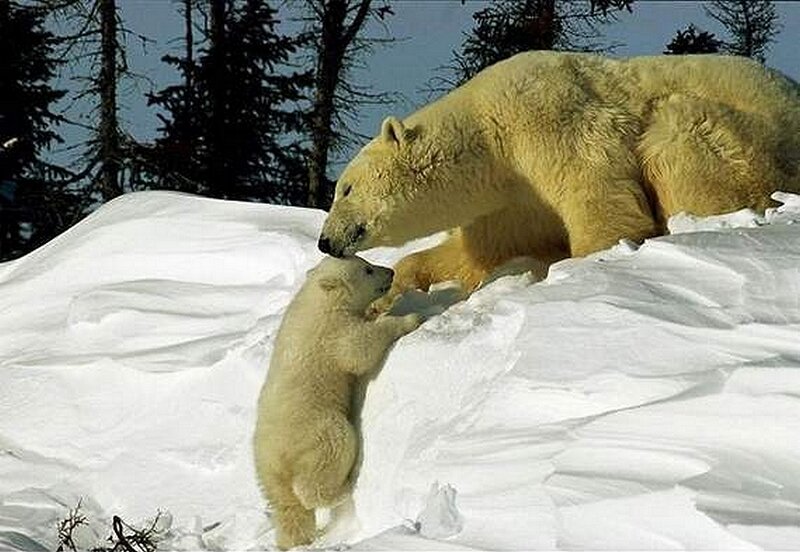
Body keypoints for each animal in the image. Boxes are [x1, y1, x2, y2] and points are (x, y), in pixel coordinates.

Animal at [253, 255, 420, 550]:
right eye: (367, 269)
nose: (390, 272)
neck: (319, 298)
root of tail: (274, 454)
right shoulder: (333, 333)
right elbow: (360, 348)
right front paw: (409, 317)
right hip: (316, 428)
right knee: (329, 456)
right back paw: (344, 489)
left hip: (266, 471)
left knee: (286, 505)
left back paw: (292, 539)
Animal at [317, 51, 800, 304]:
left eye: (346, 188)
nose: (325, 241)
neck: (490, 134)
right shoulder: (511, 201)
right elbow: (484, 251)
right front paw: (397, 288)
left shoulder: (550, 121)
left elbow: (602, 200)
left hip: (744, 143)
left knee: (676, 133)